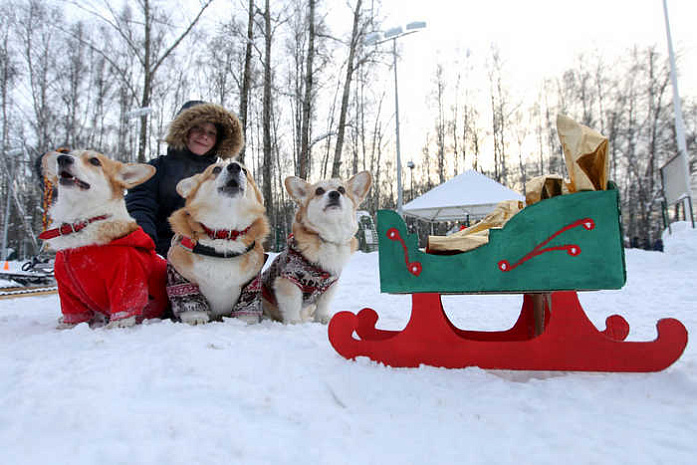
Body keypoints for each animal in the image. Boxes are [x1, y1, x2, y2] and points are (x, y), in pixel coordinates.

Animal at [40, 148, 169, 326]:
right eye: (71, 153)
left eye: (95, 161)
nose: (63, 158)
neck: (79, 222)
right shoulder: (67, 292)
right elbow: (73, 316)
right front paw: (66, 326)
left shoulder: (127, 281)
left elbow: (123, 312)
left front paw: (114, 326)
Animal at [166, 159, 270, 322]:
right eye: (216, 169)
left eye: (245, 171)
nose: (234, 167)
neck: (224, 234)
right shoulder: (178, 276)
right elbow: (189, 298)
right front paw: (196, 317)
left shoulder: (252, 283)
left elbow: (247, 307)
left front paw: (246, 322)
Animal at [260, 169, 372, 322]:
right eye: (319, 190)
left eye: (341, 189)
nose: (334, 194)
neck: (328, 237)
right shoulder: (289, 281)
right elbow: (292, 306)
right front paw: (294, 323)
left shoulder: (330, 284)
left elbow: (323, 304)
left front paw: (323, 319)